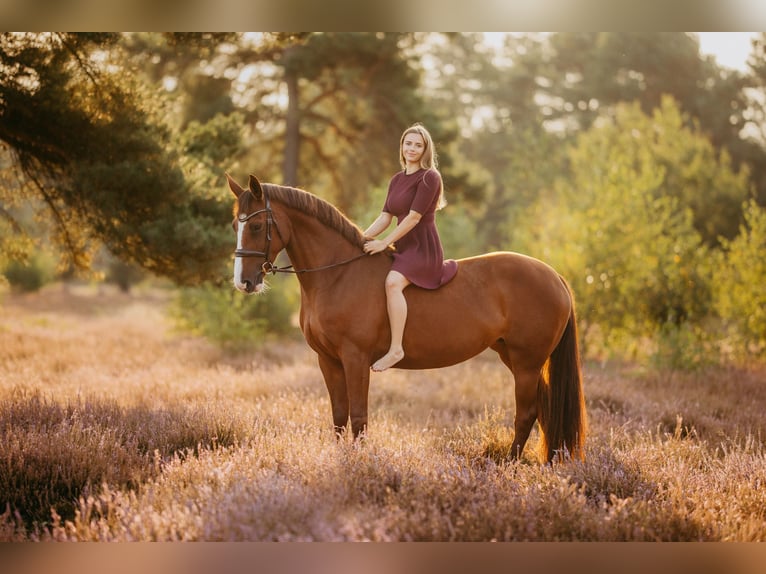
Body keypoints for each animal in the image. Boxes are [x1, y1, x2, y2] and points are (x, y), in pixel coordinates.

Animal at [227, 173, 587, 462]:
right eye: (235, 225)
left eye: (256, 225)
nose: (244, 282)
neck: (338, 275)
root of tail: (554, 276)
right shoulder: (327, 360)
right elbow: (339, 417)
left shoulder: (355, 358)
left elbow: (358, 417)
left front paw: (359, 465)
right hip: (513, 357)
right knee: (544, 408)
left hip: (526, 362)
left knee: (526, 413)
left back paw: (509, 465)